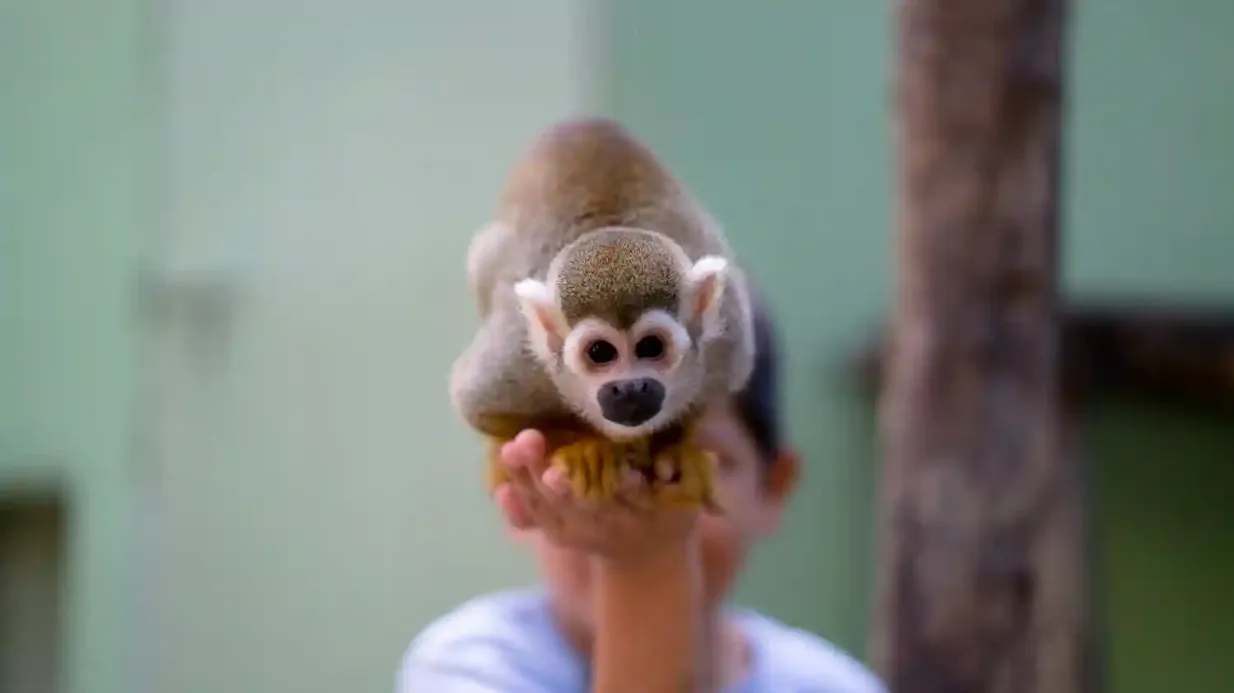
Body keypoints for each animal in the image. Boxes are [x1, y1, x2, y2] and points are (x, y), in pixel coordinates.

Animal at [449, 117, 756, 509]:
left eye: (651, 347)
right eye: (599, 352)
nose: (629, 388)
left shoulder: (727, 343)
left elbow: (712, 393)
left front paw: (678, 449)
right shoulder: (519, 359)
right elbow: (476, 405)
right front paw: (589, 449)